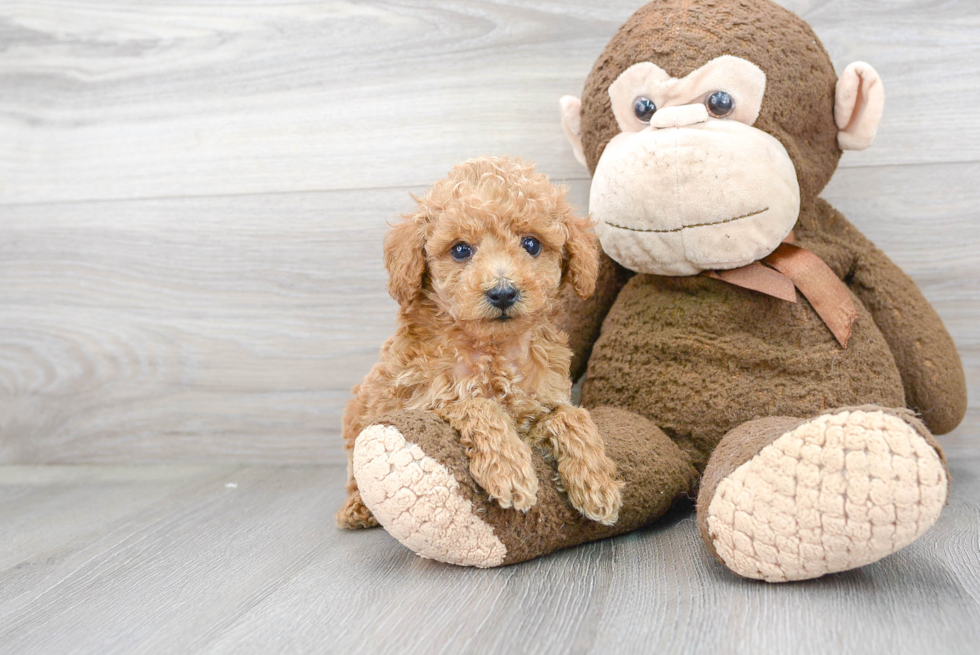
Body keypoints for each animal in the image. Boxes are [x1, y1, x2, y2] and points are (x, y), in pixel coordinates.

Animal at [336, 156, 624, 532]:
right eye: (460, 250)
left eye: (531, 244)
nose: (503, 292)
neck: (494, 349)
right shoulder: (422, 401)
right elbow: (477, 405)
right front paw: (509, 470)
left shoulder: (540, 404)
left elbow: (571, 416)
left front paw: (597, 482)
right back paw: (357, 508)